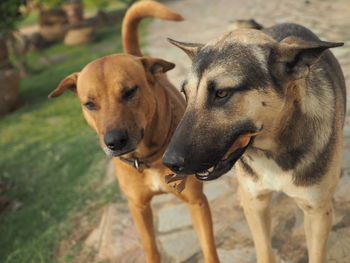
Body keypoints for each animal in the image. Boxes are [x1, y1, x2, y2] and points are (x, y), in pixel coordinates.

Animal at [48, 2, 219, 263]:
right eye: (89, 104)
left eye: (129, 91)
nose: (114, 141)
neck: (148, 158)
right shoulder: (138, 208)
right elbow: (150, 247)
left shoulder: (196, 202)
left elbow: (209, 248)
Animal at [163, 23, 344, 263]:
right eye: (185, 93)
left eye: (222, 93)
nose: (168, 163)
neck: (273, 152)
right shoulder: (256, 205)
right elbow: (264, 250)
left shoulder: (318, 213)